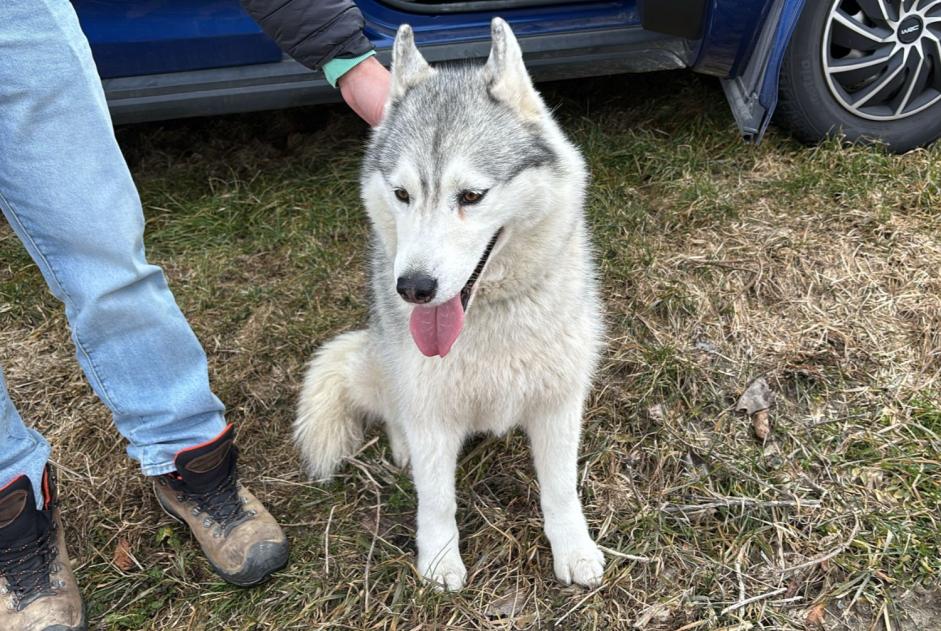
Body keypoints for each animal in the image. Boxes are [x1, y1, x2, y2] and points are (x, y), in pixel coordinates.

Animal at [298, 19, 604, 592]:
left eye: (471, 196)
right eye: (402, 194)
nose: (413, 287)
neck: (491, 315)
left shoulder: (558, 402)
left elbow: (561, 489)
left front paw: (573, 549)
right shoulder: (432, 411)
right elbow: (436, 498)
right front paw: (439, 560)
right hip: (382, 363)